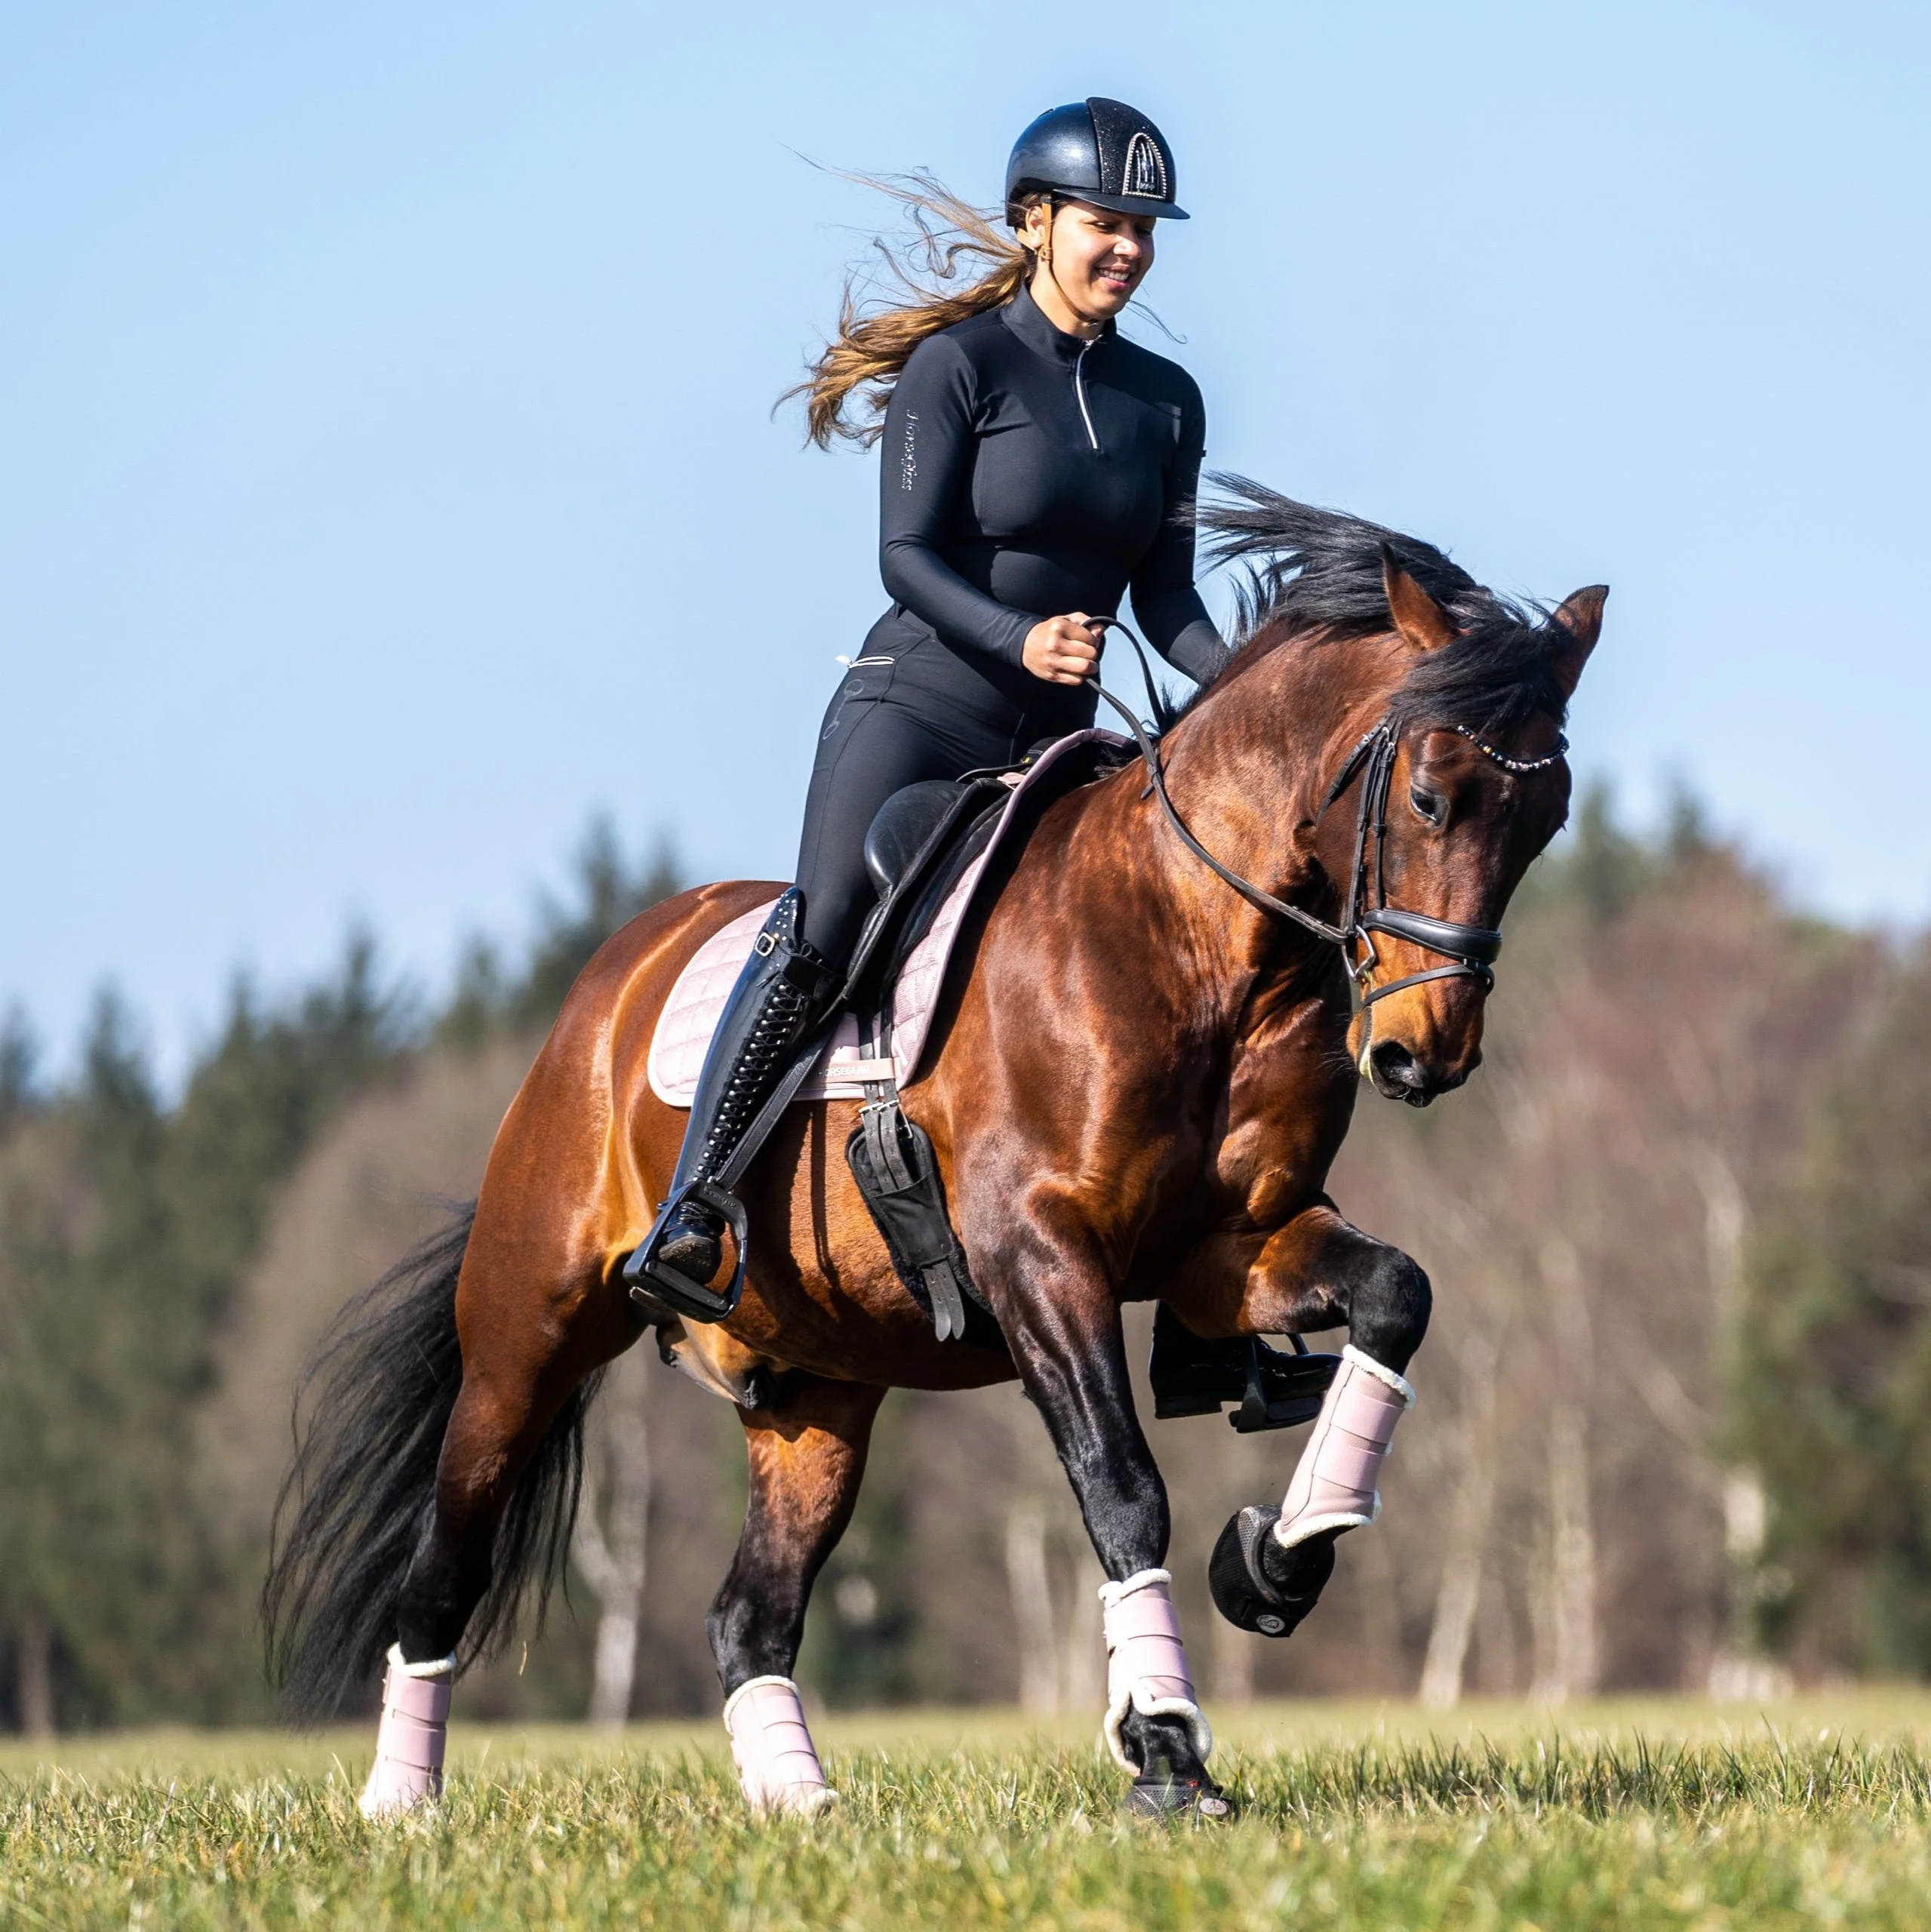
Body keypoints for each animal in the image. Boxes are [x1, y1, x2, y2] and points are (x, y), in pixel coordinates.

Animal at [263, 487, 1603, 1818]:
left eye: (1545, 822)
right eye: (1427, 798)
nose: (1426, 1054)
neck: (1200, 945)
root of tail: (600, 992)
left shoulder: (1228, 1248)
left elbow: (1393, 1298)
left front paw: (1272, 1564)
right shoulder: (1035, 1254)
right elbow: (1120, 1485)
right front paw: (1164, 1747)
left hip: (817, 1385)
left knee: (748, 1615)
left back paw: (798, 1807)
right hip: (525, 1337)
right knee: (444, 1572)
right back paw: (400, 1805)